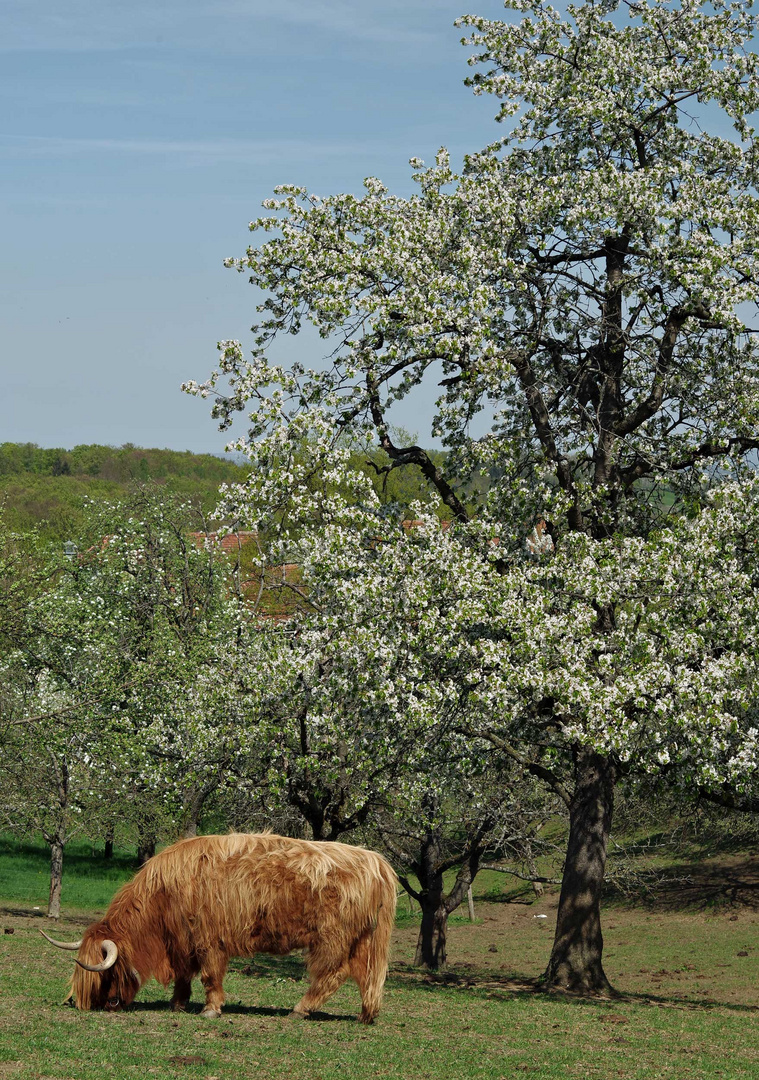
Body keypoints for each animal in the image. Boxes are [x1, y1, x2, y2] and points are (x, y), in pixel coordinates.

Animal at [39, 829, 397, 1023]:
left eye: (103, 974)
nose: (88, 1005)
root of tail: (375, 861)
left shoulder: (209, 939)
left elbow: (210, 975)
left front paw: (211, 1010)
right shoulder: (182, 941)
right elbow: (184, 976)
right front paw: (177, 1005)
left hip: (331, 937)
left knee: (333, 974)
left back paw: (300, 1009)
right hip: (363, 939)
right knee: (367, 975)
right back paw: (366, 1015)